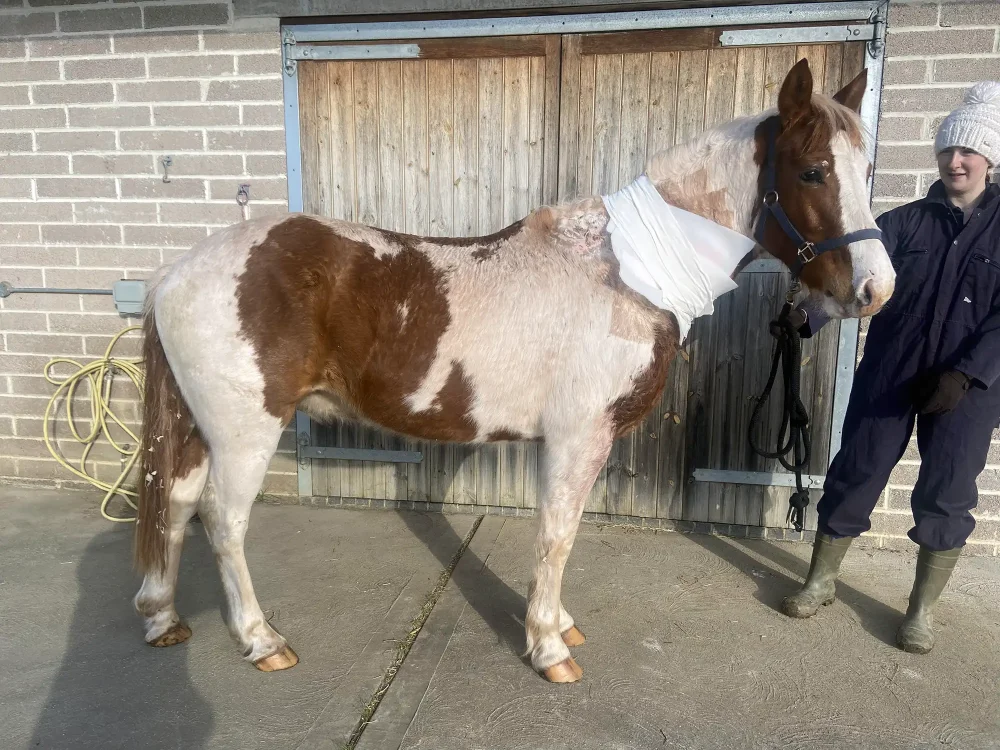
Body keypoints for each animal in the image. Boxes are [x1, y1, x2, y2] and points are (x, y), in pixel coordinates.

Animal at [132, 58, 895, 683]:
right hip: (245, 432)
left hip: (200, 430)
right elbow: (557, 535)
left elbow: (557, 534)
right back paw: (261, 641)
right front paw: (548, 648)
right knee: (223, 520)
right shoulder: (579, 437)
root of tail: (176, 273)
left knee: (176, 503)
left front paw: (556, 626)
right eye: (812, 171)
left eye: (864, 171)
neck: (626, 273)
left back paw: (164, 618)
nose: (877, 289)